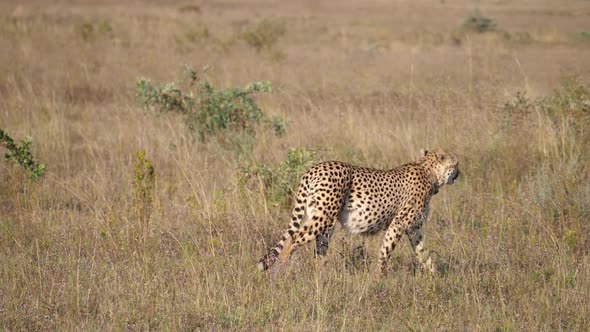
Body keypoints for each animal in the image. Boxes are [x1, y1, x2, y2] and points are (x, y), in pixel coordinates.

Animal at [256, 149, 460, 274]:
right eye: (456, 164)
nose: (459, 173)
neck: (428, 172)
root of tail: (315, 167)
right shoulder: (399, 223)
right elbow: (386, 251)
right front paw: (379, 277)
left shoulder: (413, 228)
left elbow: (423, 253)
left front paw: (434, 277)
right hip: (324, 217)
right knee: (293, 238)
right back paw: (281, 271)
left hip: (323, 219)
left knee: (317, 251)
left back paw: (320, 277)